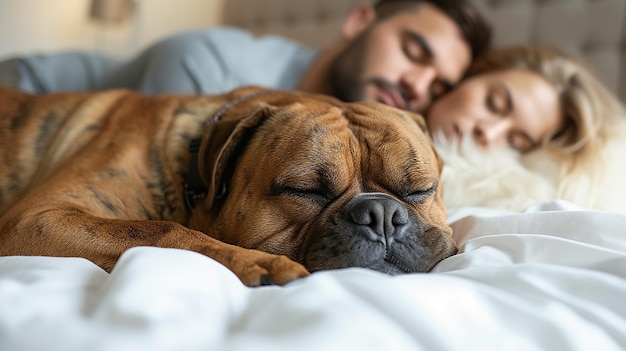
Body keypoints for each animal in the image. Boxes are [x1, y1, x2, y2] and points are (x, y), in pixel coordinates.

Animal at [0, 86, 454, 288]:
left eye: (419, 190)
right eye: (305, 191)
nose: (382, 214)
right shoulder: (36, 219)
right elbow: (160, 230)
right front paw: (259, 263)